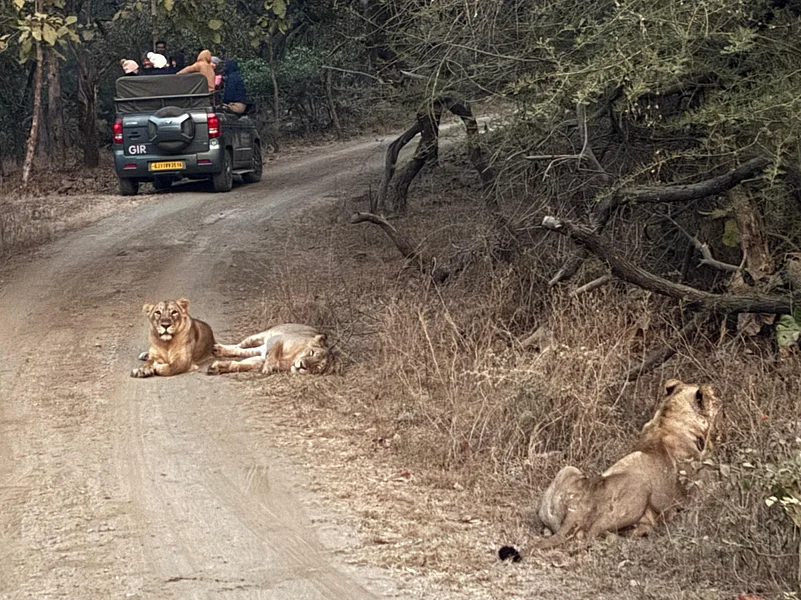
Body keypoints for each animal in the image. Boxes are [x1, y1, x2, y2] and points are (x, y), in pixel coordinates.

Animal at [206, 323, 337, 375]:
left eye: (317, 368)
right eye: (311, 353)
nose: (302, 365)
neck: (292, 359)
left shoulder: (259, 361)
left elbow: (240, 365)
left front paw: (218, 367)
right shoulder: (278, 339)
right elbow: (273, 354)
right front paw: (268, 368)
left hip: (257, 351)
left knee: (241, 351)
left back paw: (219, 351)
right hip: (257, 337)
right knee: (238, 345)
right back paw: (218, 348)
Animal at [536, 379, 721, 549]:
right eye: (715, 401)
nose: (720, 404)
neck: (667, 420)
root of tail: (576, 507)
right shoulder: (700, 489)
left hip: (568, 470)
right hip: (639, 486)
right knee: (591, 535)